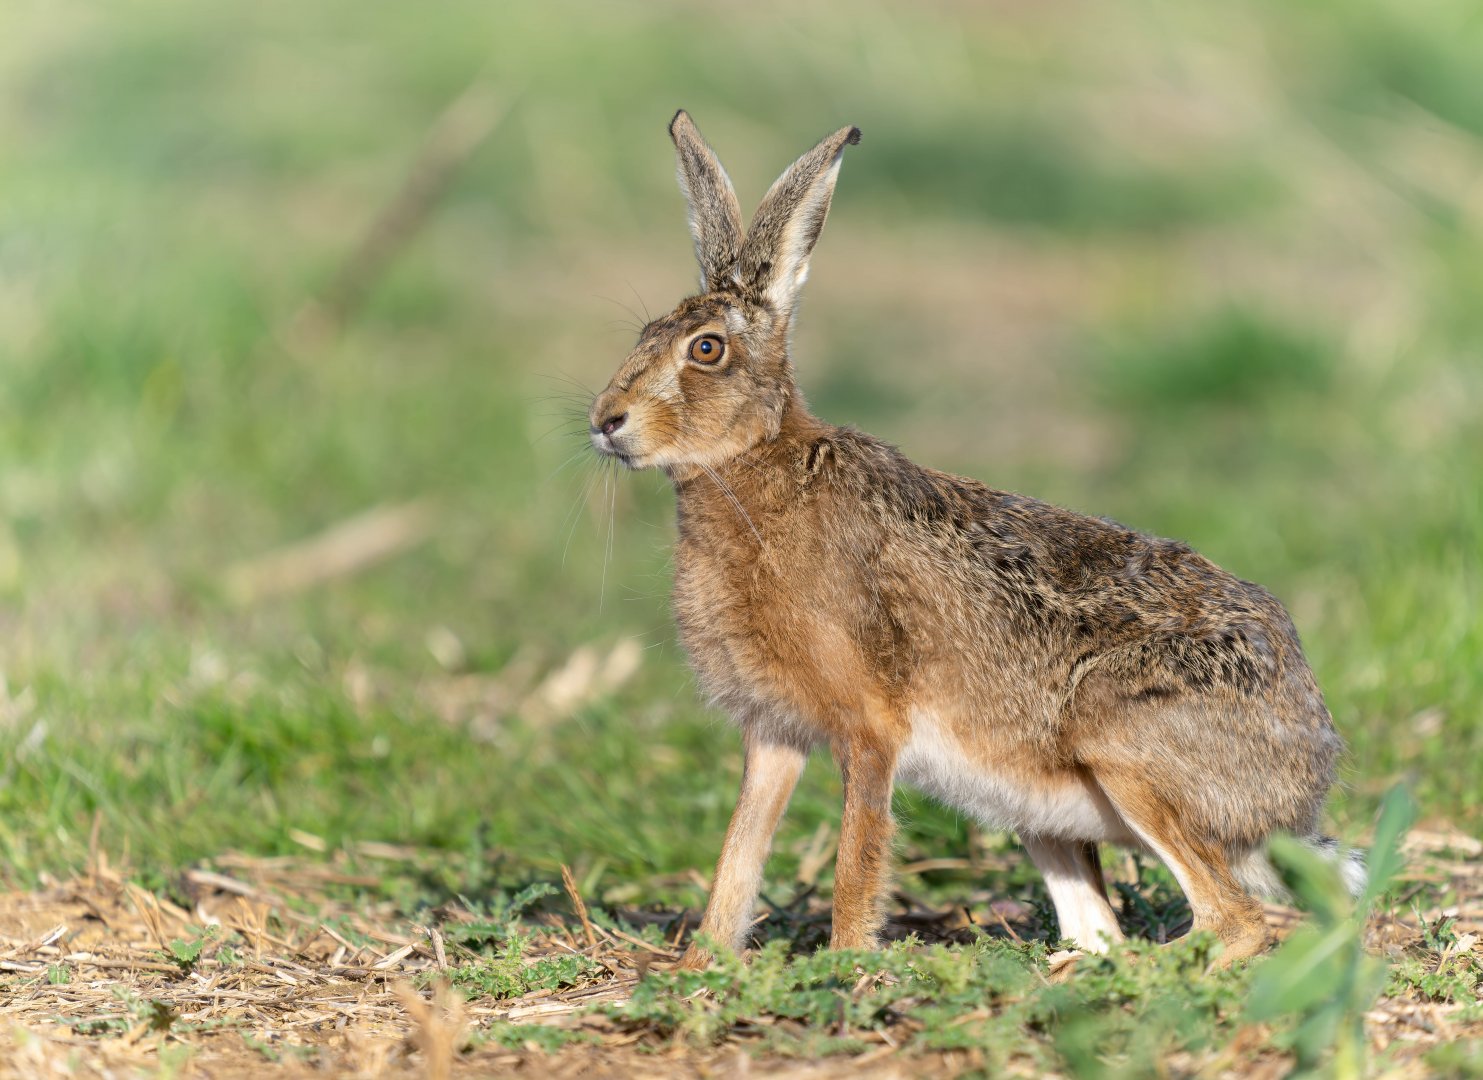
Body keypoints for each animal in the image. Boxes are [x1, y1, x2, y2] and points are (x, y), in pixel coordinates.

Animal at [587, 110, 1360, 970]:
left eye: (706, 349)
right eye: (644, 333)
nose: (605, 420)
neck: (750, 465)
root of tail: (1298, 787)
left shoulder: (869, 726)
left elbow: (857, 856)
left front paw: (847, 964)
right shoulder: (773, 732)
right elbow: (738, 854)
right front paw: (703, 964)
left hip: (1122, 746)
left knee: (1238, 921)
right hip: (1042, 813)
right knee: (1101, 927)